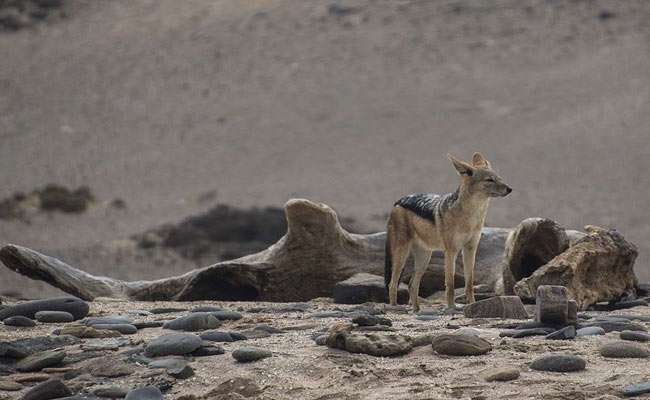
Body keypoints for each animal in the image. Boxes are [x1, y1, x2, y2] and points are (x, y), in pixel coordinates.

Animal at [384, 153, 512, 312]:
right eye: (489, 180)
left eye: (499, 178)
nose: (510, 189)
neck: (472, 215)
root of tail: (397, 202)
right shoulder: (451, 250)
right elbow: (450, 283)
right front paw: (451, 306)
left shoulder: (470, 248)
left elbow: (469, 282)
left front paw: (472, 304)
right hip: (402, 255)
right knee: (392, 283)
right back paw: (395, 307)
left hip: (424, 258)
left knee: (412, 285)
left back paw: (417, 310)